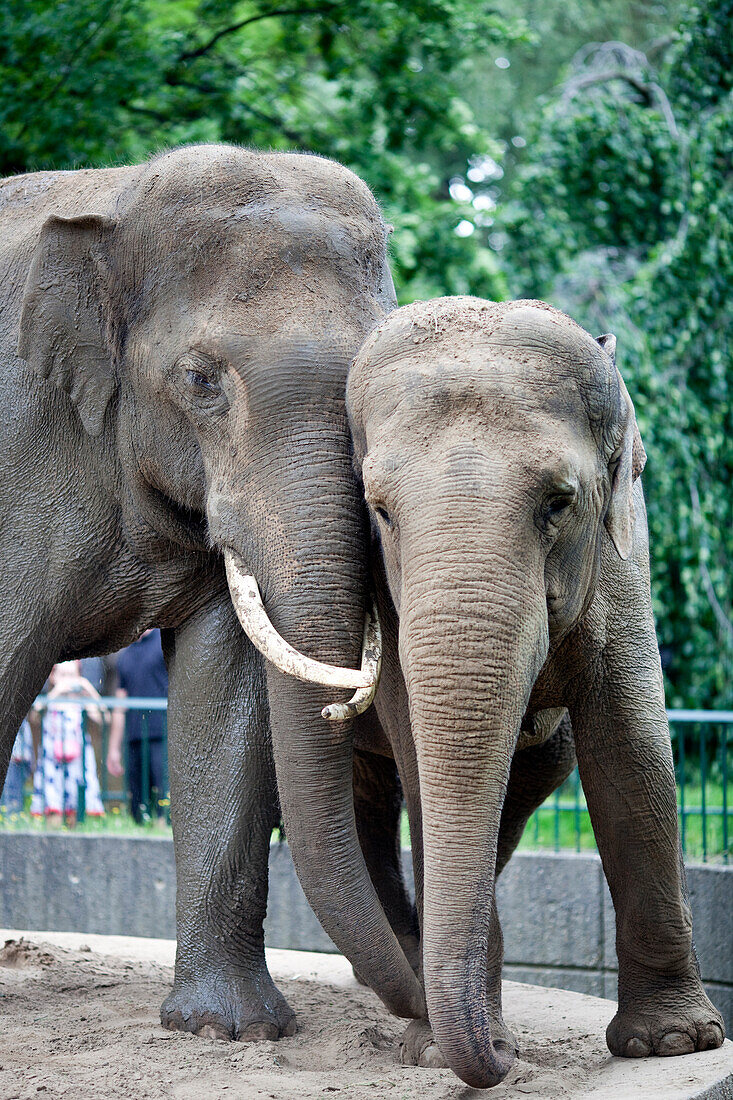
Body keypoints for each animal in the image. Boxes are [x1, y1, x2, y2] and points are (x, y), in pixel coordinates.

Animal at [345, 299, 721, 1091]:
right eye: (379, 511)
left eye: (558, 502)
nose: (500, 1059)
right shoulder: (384, 595)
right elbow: (422, 756)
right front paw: (439, 1049)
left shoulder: (623, 549)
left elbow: (632, 748)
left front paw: (673, 1044)